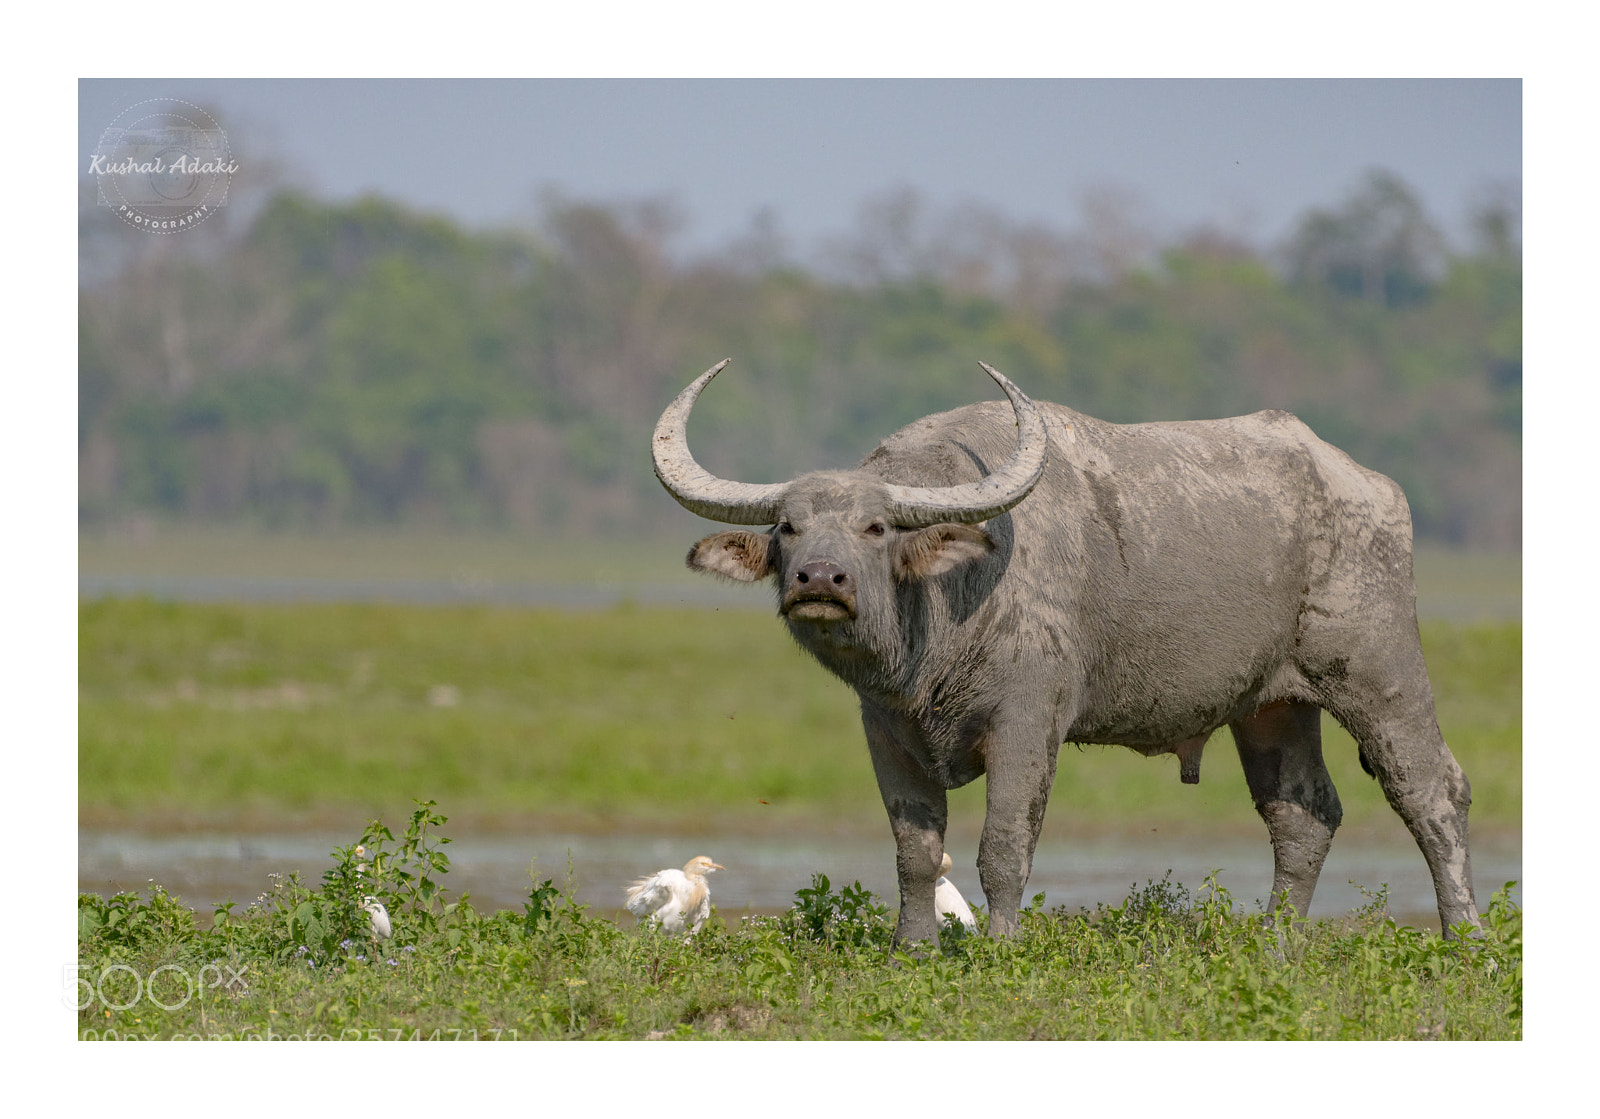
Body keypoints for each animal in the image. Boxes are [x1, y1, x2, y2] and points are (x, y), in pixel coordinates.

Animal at [652, 359, 1479, 943]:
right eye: (788, 526)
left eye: (876, 527)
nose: (819, 579)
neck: (944, 616)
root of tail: (1371, 487)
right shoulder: (885, 729)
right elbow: (916, 850)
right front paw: (910, 948)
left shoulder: (1028, 724)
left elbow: (1003, 845)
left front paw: (1001, 946)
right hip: (1271, 704)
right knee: (1302, 813)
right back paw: (1276, 944)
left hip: (1380, 672)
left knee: (1431, 790)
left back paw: (1464, 938)